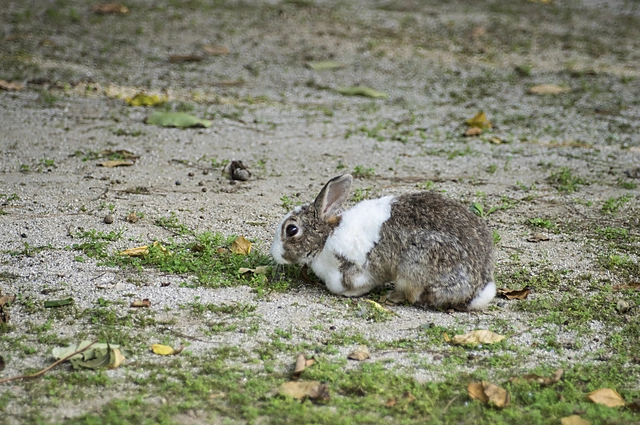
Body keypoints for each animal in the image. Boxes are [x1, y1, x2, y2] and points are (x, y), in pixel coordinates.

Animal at [270, 174, 496, 310]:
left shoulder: (350, 270)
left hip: (415, 267)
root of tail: (479, 286)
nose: (274, 253)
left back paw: (394, 296)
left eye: (291, 230)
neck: (325, 239)